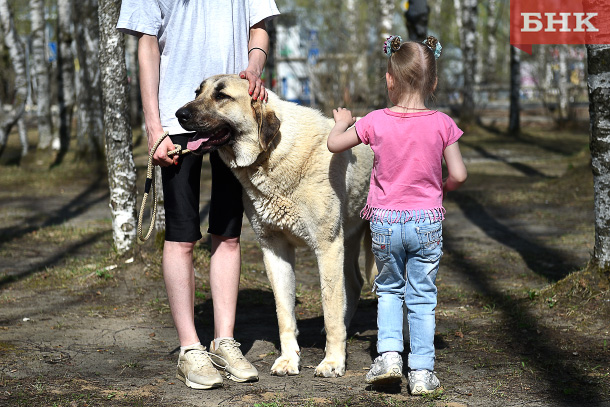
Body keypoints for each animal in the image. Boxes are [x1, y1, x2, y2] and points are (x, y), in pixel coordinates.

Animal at [176, 74, 375, 378]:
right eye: (198, 92)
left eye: (221, 96)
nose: (179, 114)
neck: (271, 156)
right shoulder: (274, 250)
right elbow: (284, 313)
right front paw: (289, 360)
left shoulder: (327, 246)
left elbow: (330, 307)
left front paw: (332, 361)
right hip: (349, 238)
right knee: (354, 283)